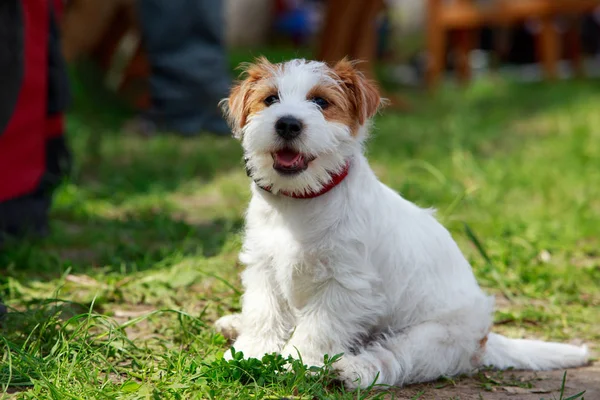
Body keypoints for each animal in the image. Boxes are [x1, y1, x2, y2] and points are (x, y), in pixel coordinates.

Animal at [214, 57, 584, 390]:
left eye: (320, 102)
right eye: (270, 99)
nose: (288, 124)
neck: (301, 200)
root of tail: (483, 341)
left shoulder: (344, 285)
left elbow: (316, 329)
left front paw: (293, 363)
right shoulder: (264, 267)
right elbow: (264, 314)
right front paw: (251, 353)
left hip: (428, 338)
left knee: (391, 360)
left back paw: (349, 371)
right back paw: (234, 323)